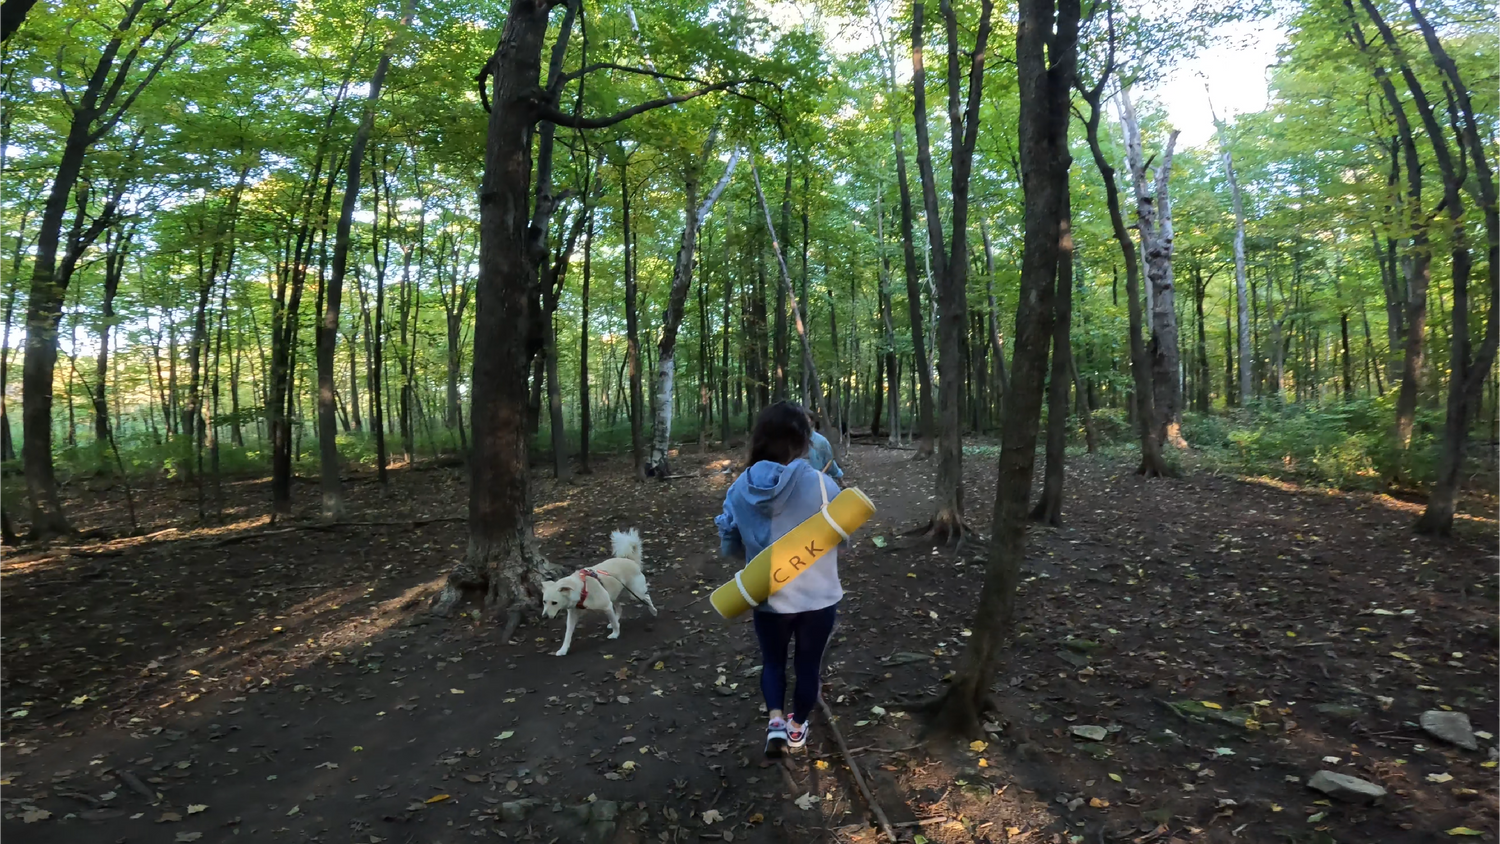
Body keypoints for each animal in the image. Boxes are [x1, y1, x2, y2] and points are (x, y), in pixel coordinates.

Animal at [540, 527, 657, 659]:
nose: (544, 616)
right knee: (619, 608)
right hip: (613, 596)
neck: (581, 589)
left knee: (646, 598)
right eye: (544, 602)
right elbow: (567, 634)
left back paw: (653, 610)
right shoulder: (573, 616)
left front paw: (615, 634)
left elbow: (614, 623)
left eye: (554, 602)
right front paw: (563, 649)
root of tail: (630, 560)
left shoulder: (606, 606)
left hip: (635, 594)